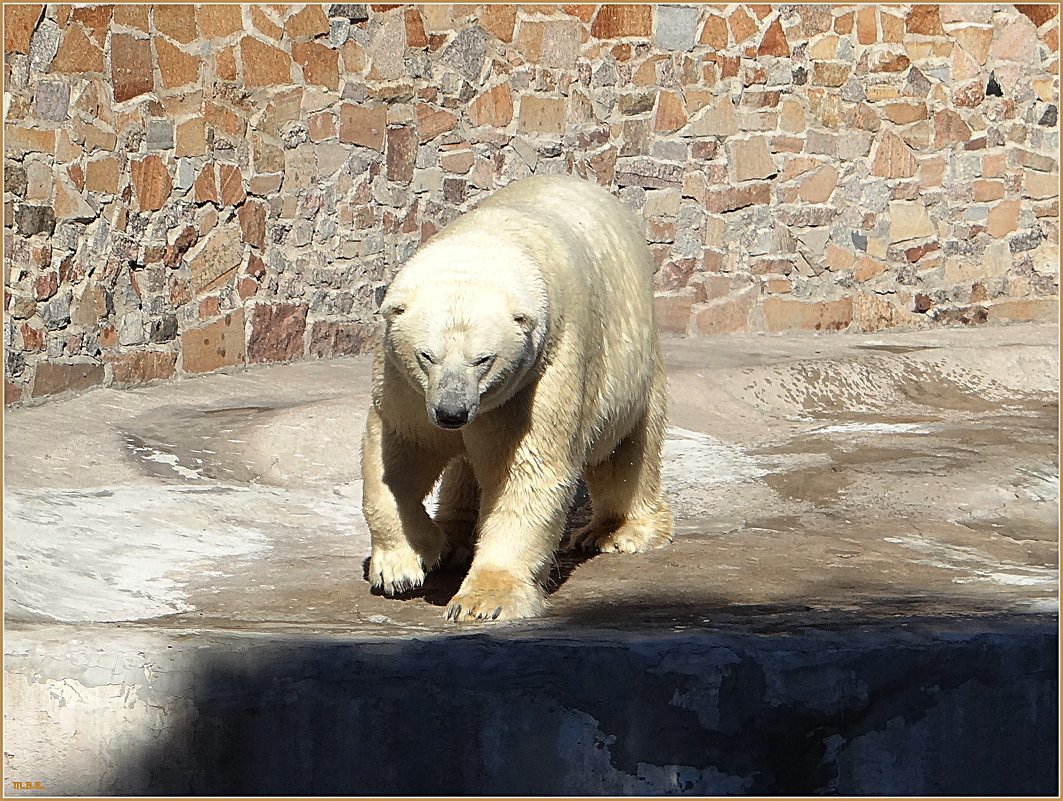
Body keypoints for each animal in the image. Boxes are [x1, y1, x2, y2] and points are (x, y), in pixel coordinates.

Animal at [361, 174, 667, 620]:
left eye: (483, 359)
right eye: (426, 355)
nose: (452, 413)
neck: (487, 242)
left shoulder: (537, 376)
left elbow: (527, 469)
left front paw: (483, 601)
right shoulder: (405, 383)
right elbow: (402, 451)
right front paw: (401, 566)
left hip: (631, 365)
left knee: (626, 450)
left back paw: (618, 531)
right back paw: (455, 538)